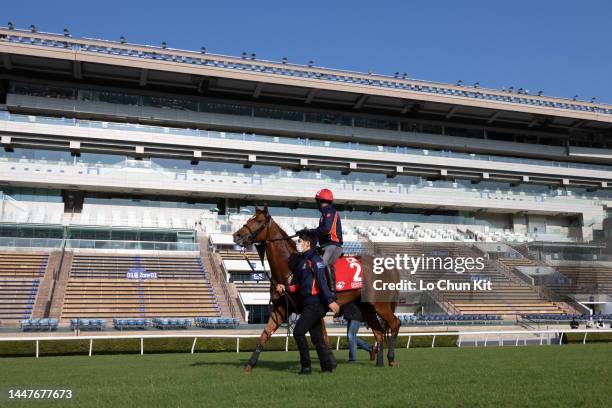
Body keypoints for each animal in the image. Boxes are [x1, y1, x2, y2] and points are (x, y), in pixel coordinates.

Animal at [232, 206, 400, 372]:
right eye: (250, 219)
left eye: (258, 221)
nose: (236, 236)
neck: (290, 267)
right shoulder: (281, 308)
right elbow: (265, 334)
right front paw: (250, 364)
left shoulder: (314, 308)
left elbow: (321, 337)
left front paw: (330, 362)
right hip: (366, 307)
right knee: (379, 332)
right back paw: (379, 362)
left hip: (380, 304)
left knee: (394, 324)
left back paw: (391, 359)